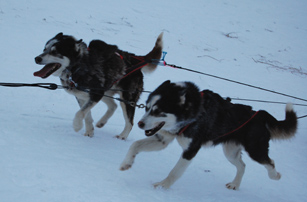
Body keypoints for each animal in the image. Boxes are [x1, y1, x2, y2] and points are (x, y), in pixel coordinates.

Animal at [34, 32, 164, 139]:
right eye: (44, 49)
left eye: (54, 52)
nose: (37, 58)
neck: (77, 67)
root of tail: (134, 58)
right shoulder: (83, 96)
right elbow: (86, 114)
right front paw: (89, 131)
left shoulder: (95, 94)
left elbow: (80, 112)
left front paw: (77, 125)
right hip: (106, 91)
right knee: (113, 106)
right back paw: (101, 122)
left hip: (126, 99)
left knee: (130, 122)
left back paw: (122, 136)